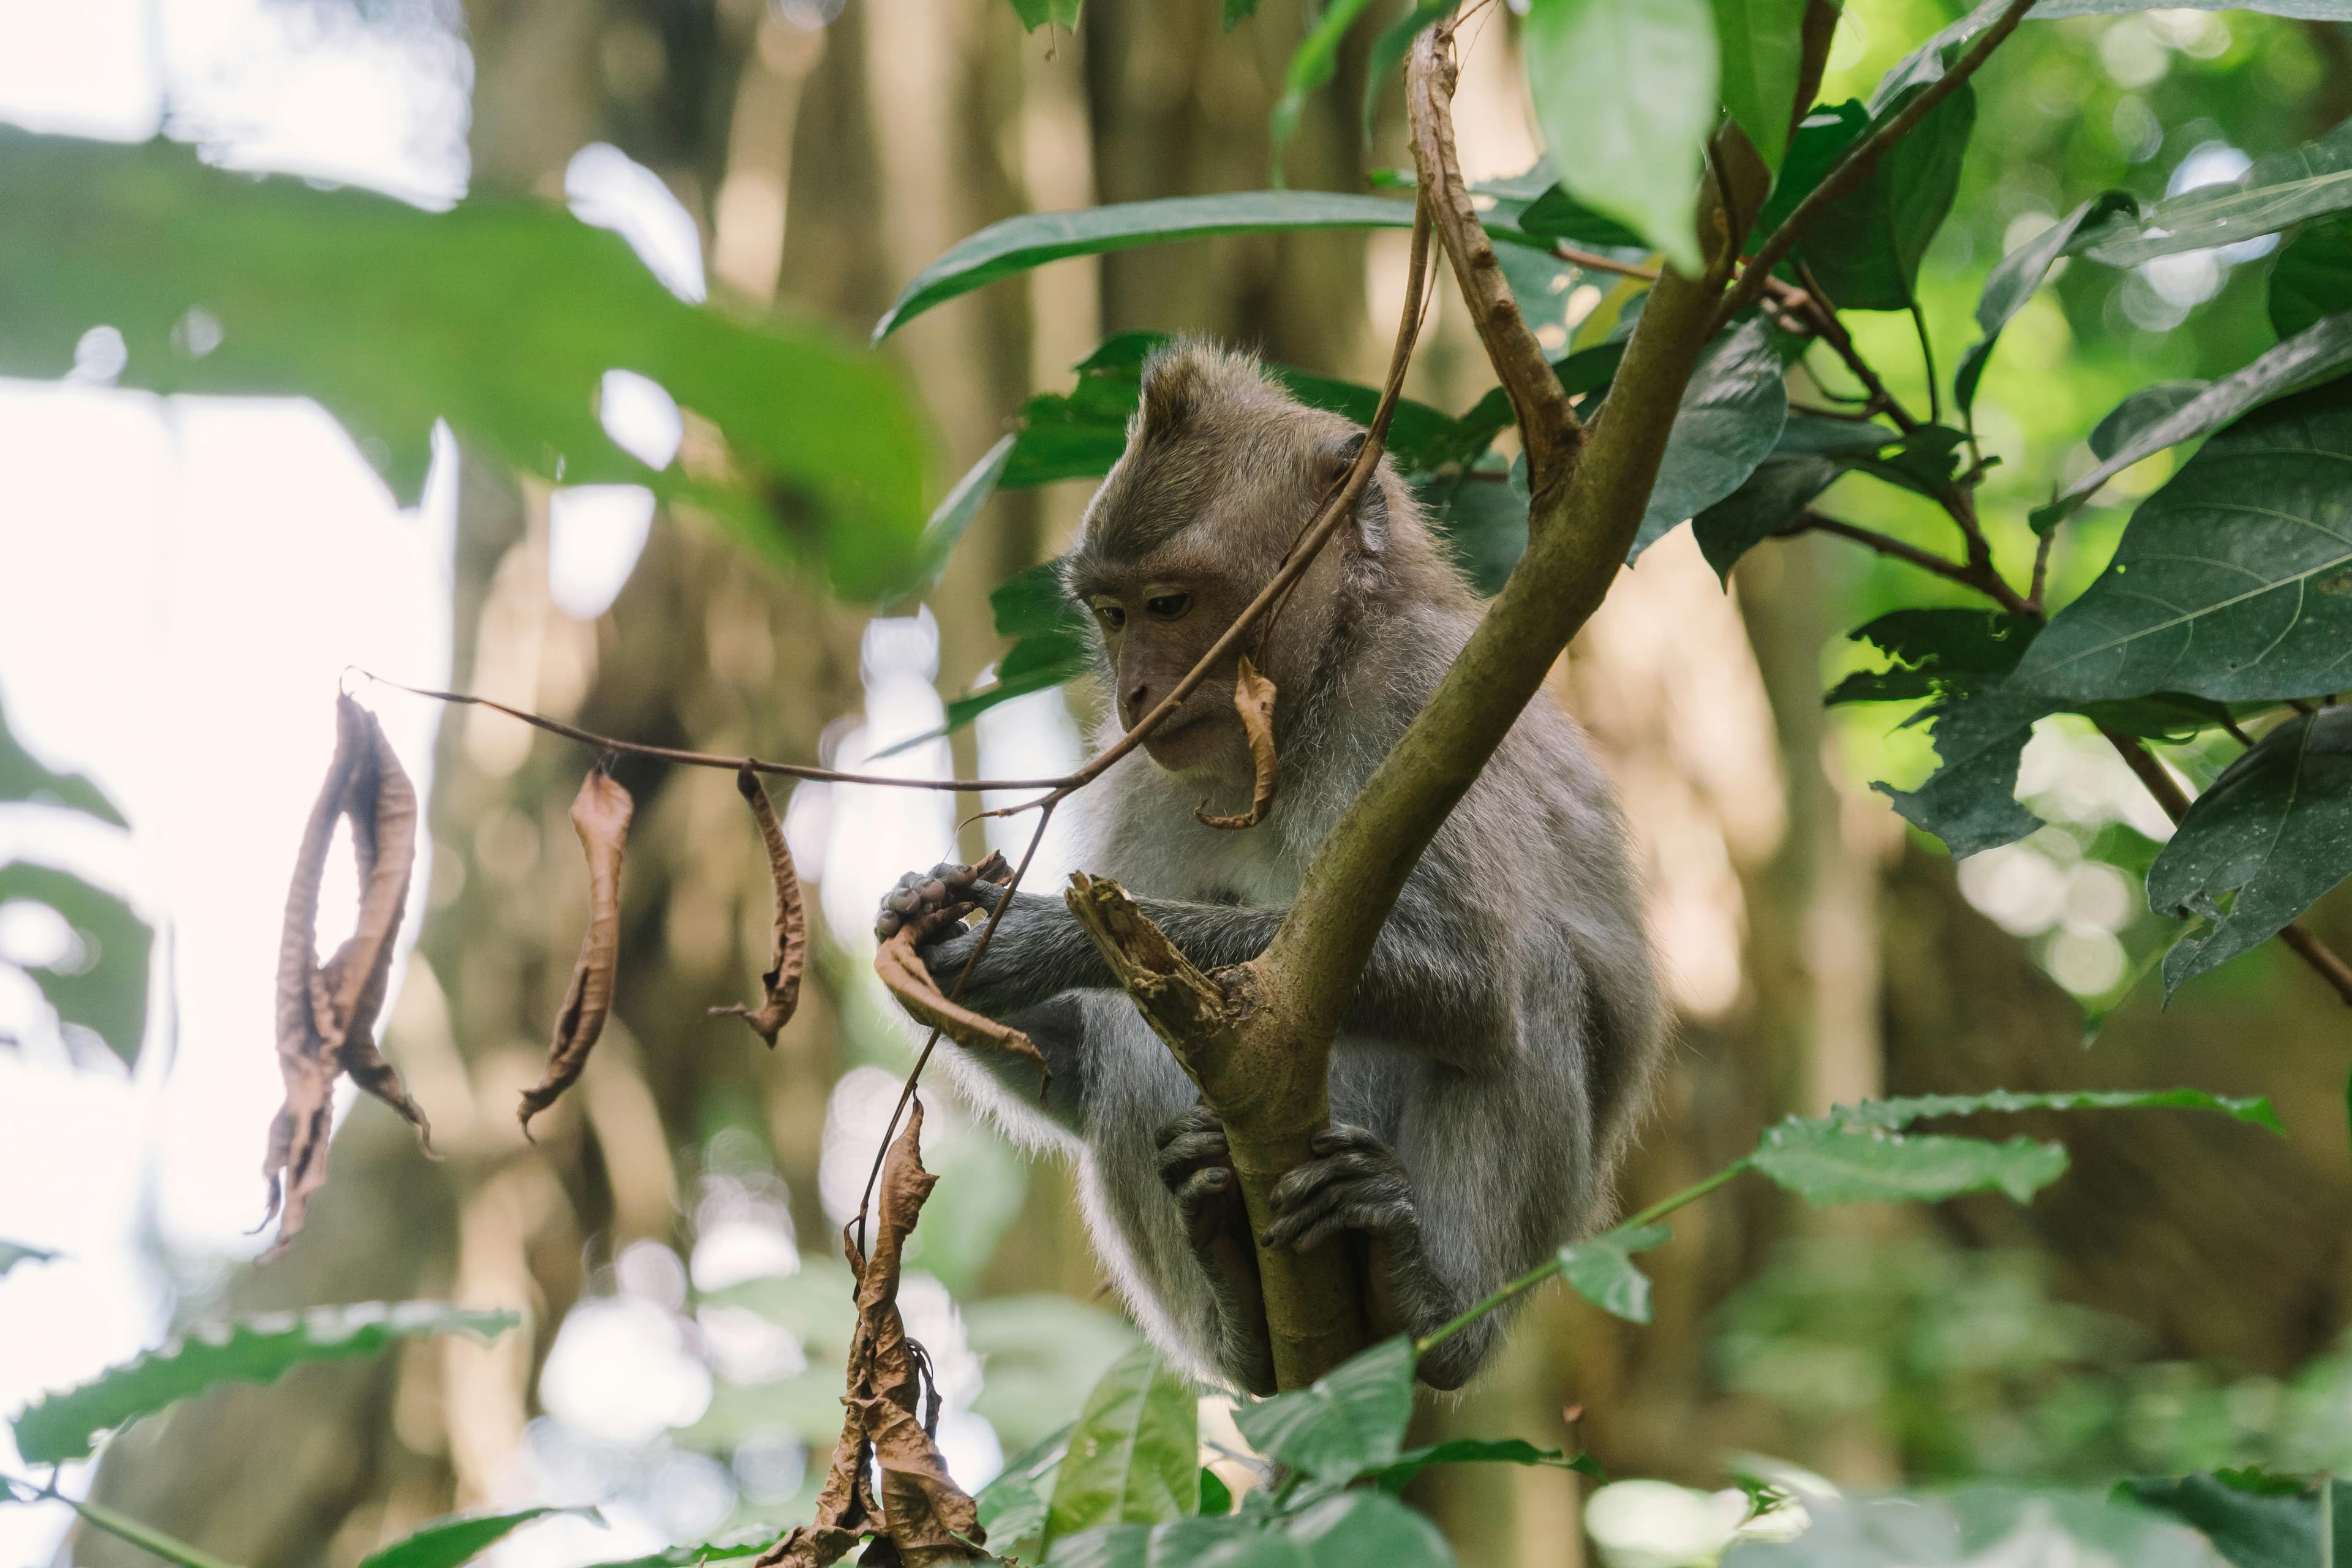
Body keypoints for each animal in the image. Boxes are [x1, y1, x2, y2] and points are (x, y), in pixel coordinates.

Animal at [875, 341, 1665, 1395]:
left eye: (1171, 604)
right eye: (1114, 613)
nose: (1136, 691)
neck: (1304, 701)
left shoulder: (1423, 699)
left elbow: (1470, 977)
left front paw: (1031, 939)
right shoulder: (1144, 776)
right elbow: (1073, 1071)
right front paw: (926, 922)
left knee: (1528, 978)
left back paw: (1426, 1302)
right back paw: (1234, 1301)